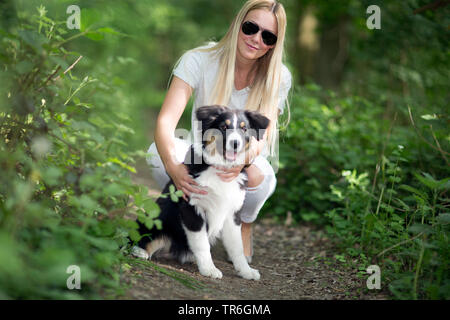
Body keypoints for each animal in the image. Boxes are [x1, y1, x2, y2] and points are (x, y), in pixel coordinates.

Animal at [132, 105, 268, 280]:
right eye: (223, 127)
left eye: (244, 128)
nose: (235, 143)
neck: (219, 168)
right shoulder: (192, 208)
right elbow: (202, 243)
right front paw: (209, 269)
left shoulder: (233, 213)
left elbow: (236, 247)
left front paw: (246, 271)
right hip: (156, 220)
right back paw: (140, 251)